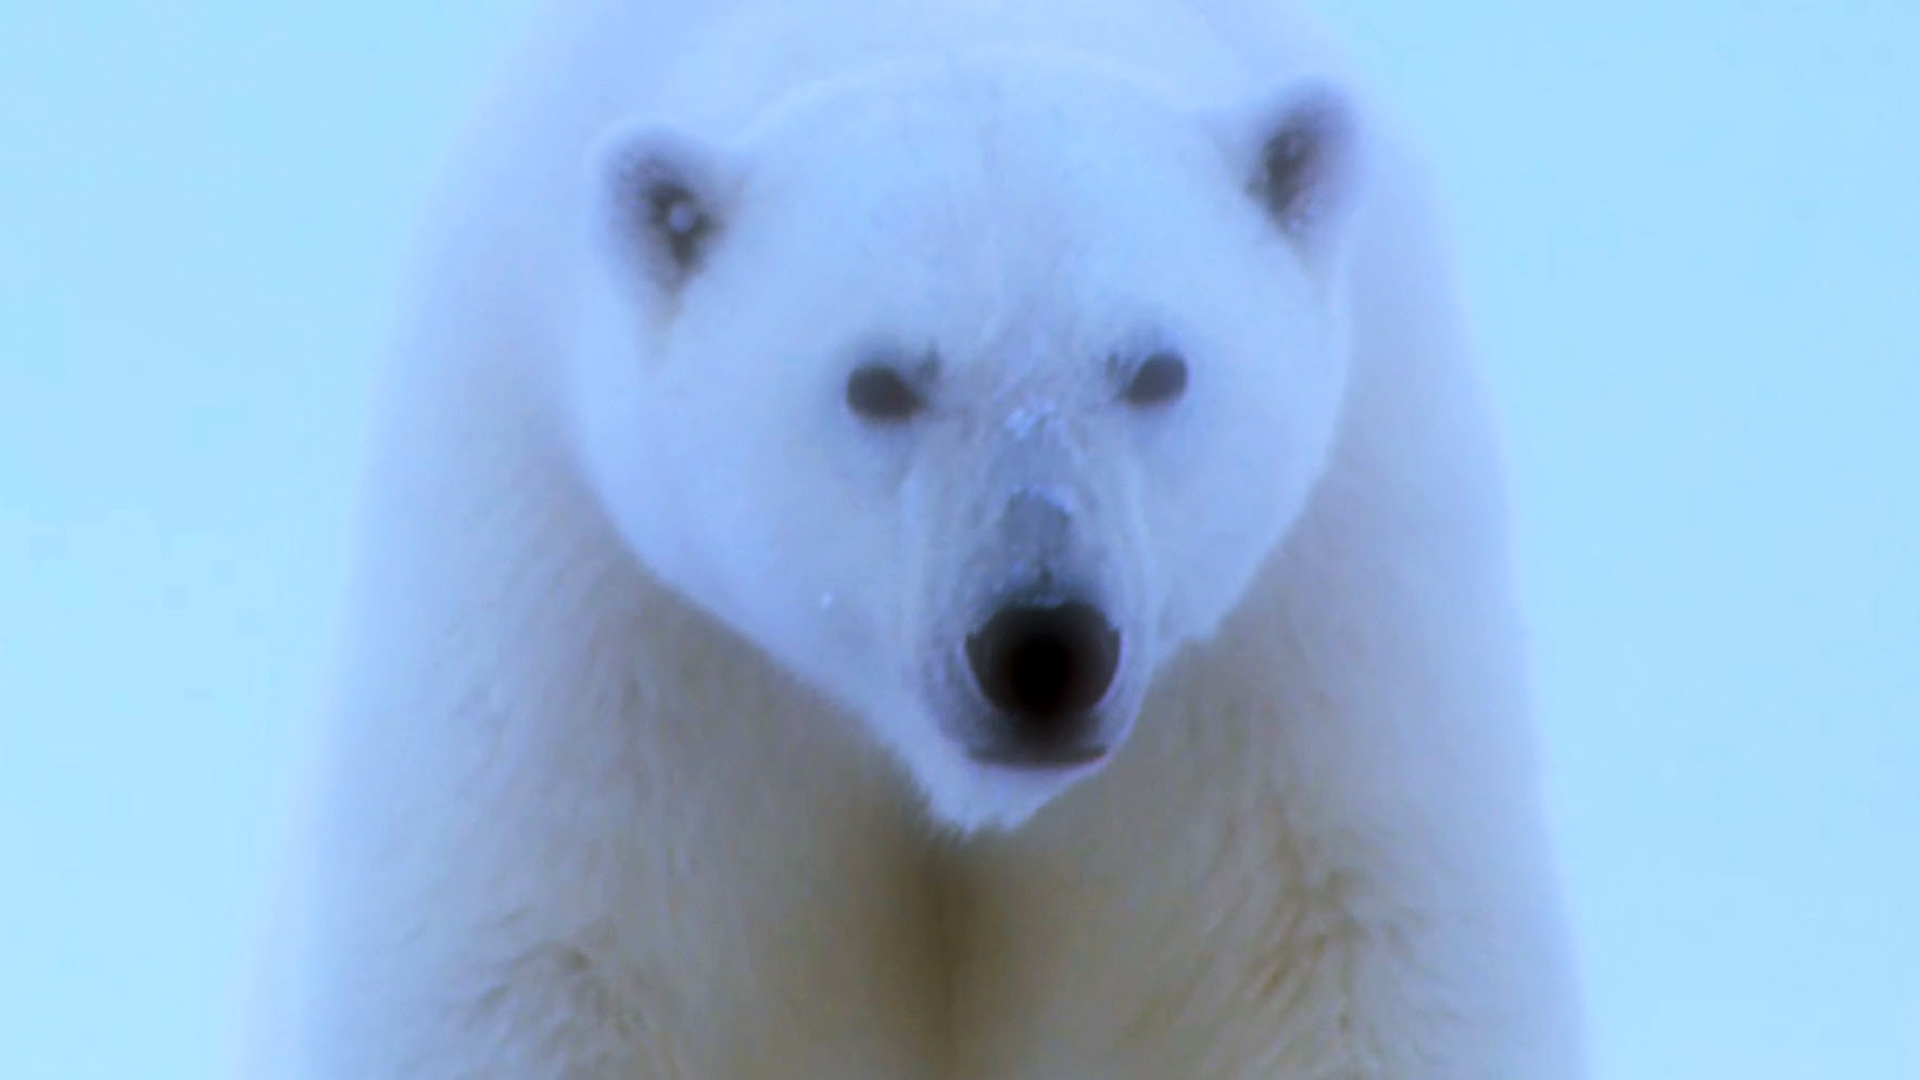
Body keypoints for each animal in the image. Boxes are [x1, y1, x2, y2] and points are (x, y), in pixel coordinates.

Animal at [263, 0, 1585, 1076]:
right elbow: (540, 965)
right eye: (881, 381)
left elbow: (1330, 957)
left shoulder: (1312, 642)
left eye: (1156, 367)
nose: (1043, 647)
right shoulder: (596, 623)